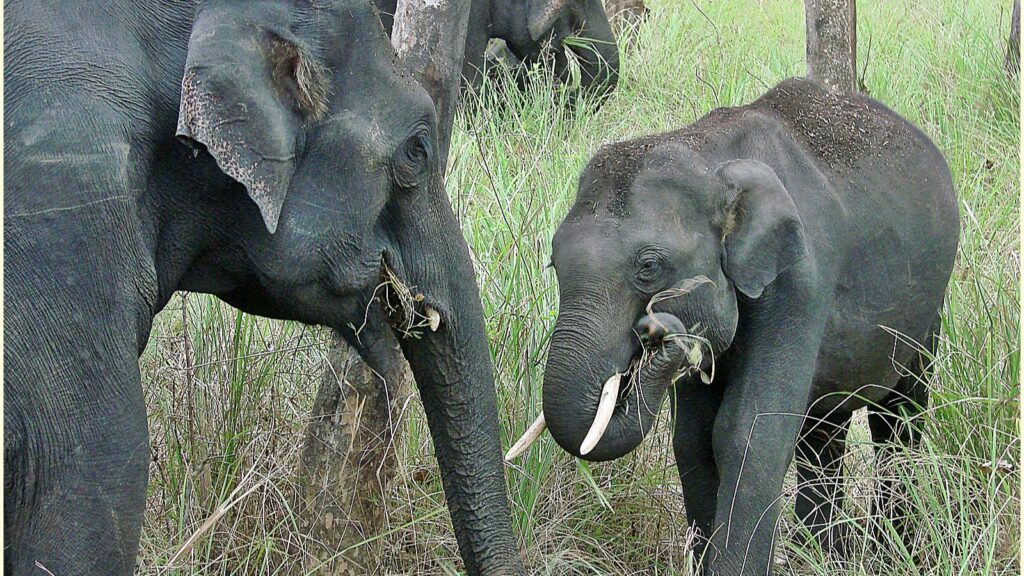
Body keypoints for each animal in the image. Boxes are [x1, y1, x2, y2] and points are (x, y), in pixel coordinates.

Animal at [511, 78, 959, 574]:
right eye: (553, 262)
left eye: (649, 267)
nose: (659, 331)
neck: (707, 155)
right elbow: (693, 440)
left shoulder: (801, 279)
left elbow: (747, 436)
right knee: (824, 430)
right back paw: (825, 556)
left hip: (930, 306)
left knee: (899, 417)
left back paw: (893, 553)